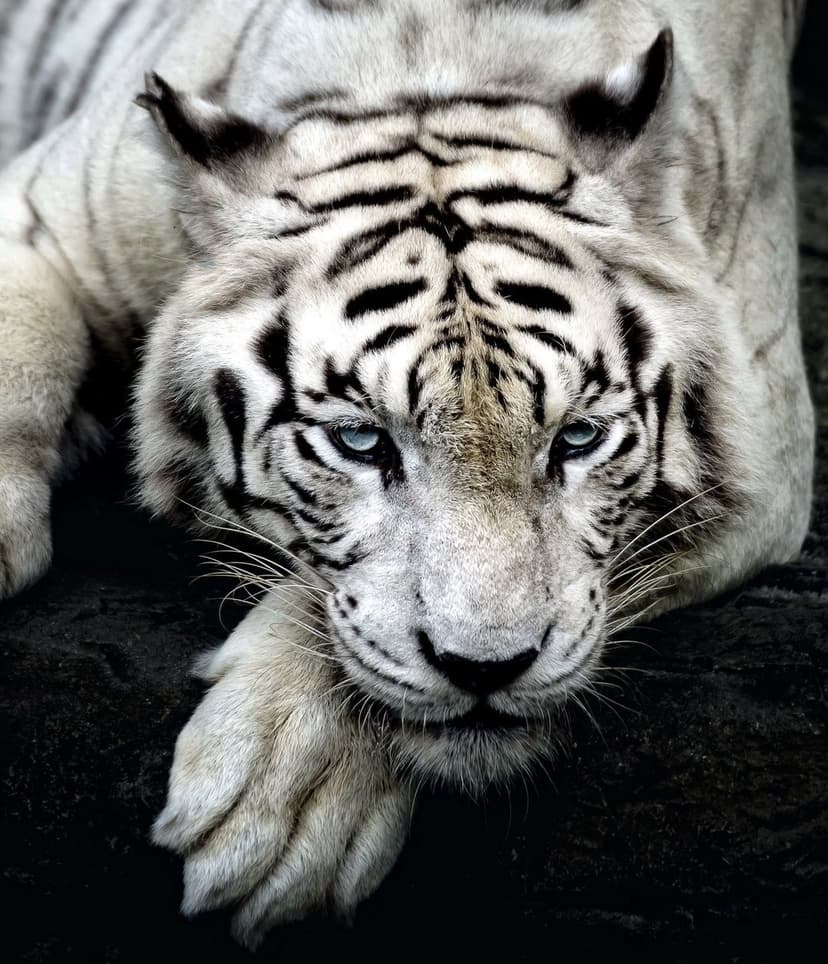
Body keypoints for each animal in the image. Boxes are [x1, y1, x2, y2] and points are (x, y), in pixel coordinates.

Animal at [0, 0, 814, 948]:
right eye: (360, 441)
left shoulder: (767, 451)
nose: (487, 671)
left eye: (576, 439)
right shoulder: (49, 211)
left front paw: (284, 799)